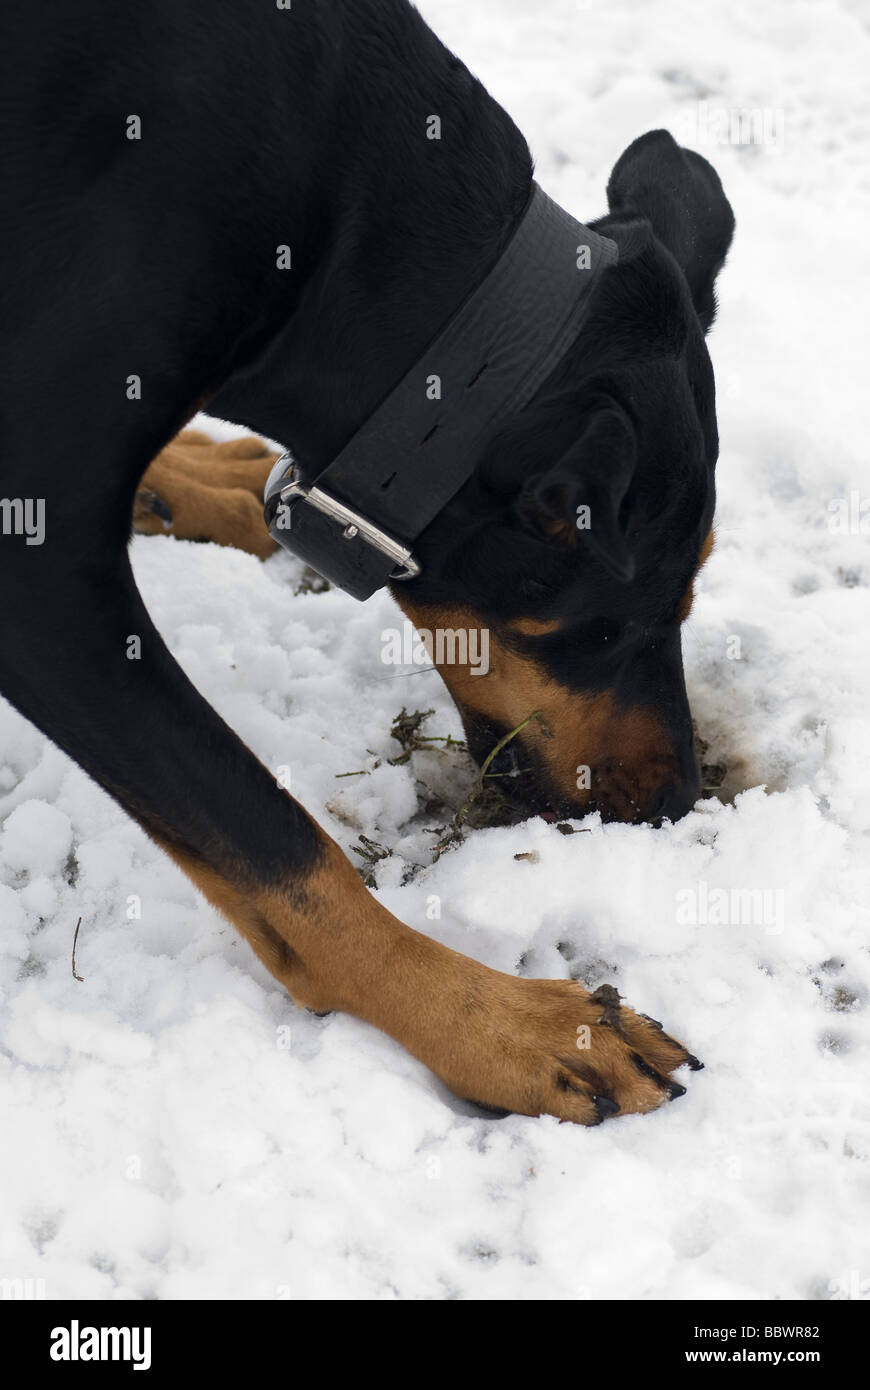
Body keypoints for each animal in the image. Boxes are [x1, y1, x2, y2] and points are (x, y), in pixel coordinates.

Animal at [0, 0, 733, 1123]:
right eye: (596, 629)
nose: (674, 801)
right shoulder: (33, 578)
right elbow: (276, 840)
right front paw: (511, 1025)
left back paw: (197, 478)